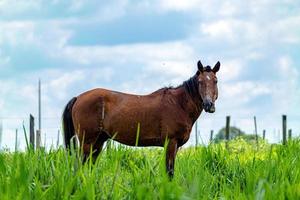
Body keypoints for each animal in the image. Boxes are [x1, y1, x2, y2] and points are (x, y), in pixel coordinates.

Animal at [62, 59, 220, 178]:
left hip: (98, 142)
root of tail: (78, 97)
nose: (209, 105)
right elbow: (170, 172)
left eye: (215, 81)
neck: (179, 104)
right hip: (87, 142)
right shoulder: (171, 142)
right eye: (199, 82)